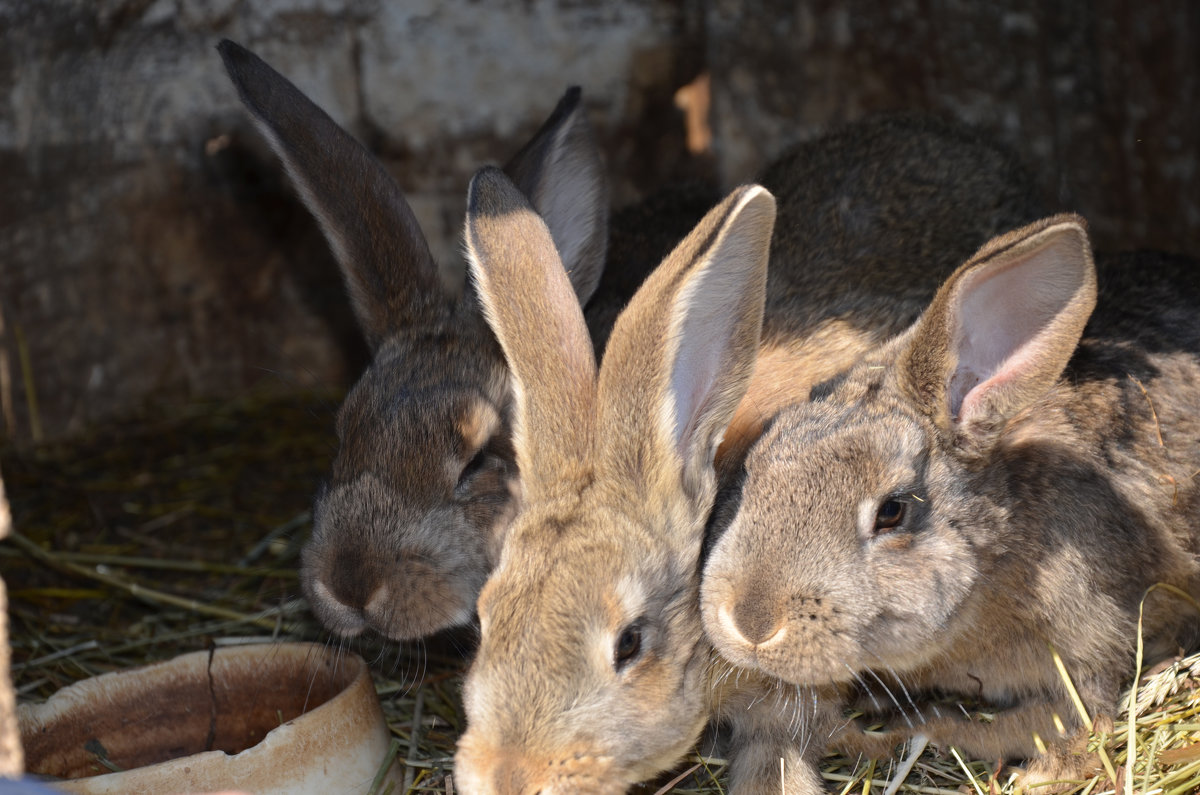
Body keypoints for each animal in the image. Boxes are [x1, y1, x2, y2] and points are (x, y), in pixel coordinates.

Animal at [700, 214, 1200, 787]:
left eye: (892, 511)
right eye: (752, 468)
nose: (751, 624)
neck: (1002, 556)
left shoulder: (1090, 651)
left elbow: (1051, 724)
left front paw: (1033, 774)